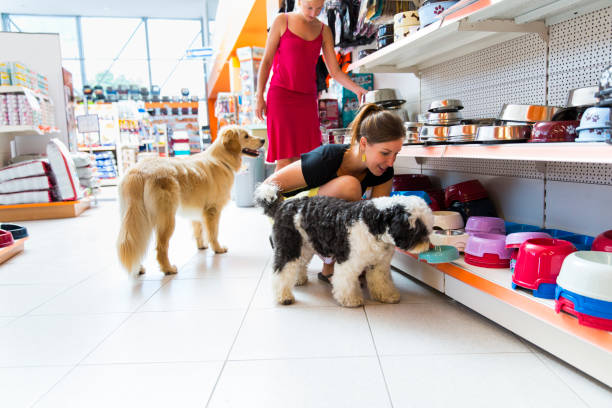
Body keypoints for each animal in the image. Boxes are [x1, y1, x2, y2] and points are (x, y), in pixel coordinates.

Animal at [253, 183, 436, 308]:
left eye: (428, 229)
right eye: (419, 230)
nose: (429, 247)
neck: (372, 222)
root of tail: (283, 204)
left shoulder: (379, 265)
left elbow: (382, 282)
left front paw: (387, 295)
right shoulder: (349, 262)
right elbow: (345, 282)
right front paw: (351, 300)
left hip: (304, 247)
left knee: (298, 264)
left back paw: (299, 280)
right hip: (288, 246)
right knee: (281, 271)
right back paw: (283, 296)